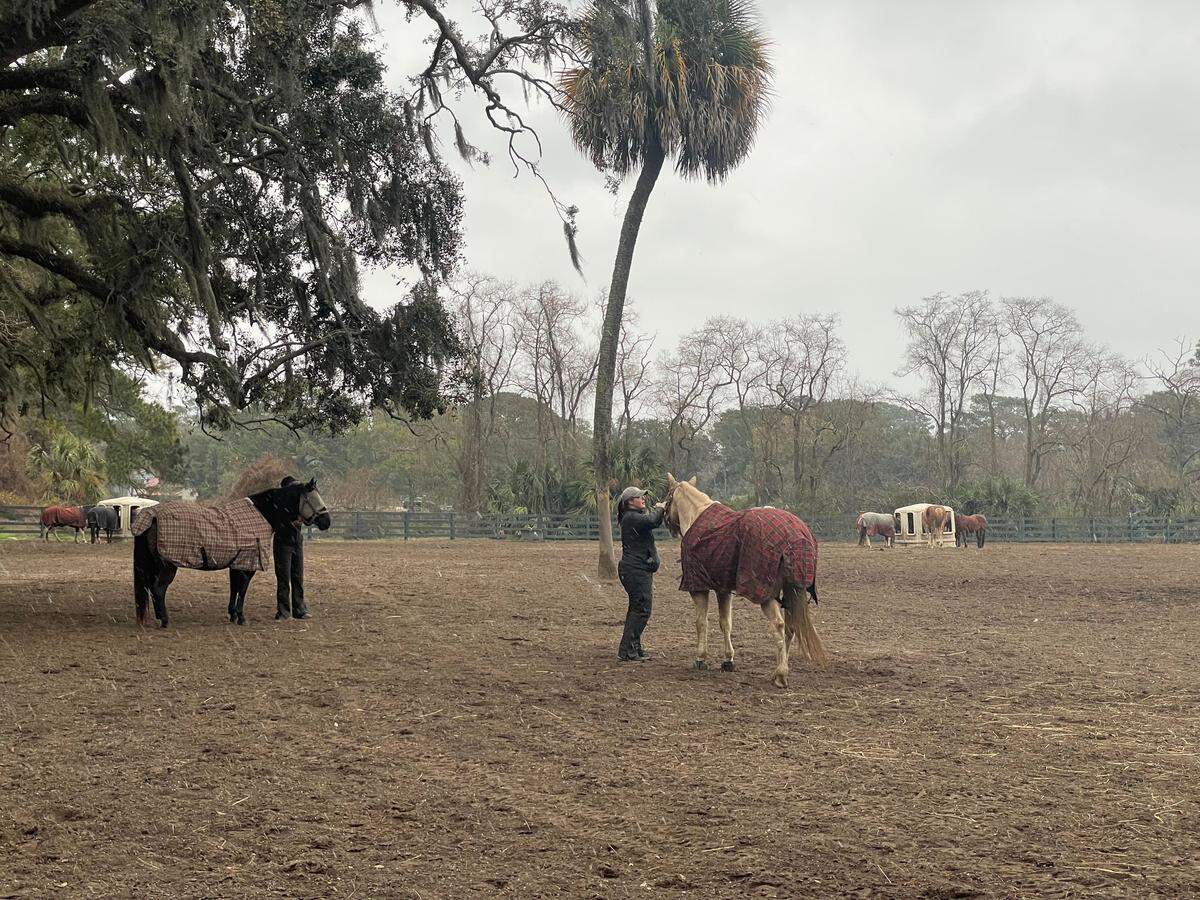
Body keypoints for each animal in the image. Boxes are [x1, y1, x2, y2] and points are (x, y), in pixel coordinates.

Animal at [132, 479, 330, 627]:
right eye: (313, 498)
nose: (326, 522)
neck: (260, 515)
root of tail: (152, 515)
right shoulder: (248, 565)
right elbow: (242, 590)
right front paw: (241, 617)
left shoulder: (236, 564)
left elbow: (234, 588)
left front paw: (233, 615)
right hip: (168, 566)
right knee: (158, 589)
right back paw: (164, 620)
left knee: (150, 588)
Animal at [662, 473, 828, 689]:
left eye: (668, 496)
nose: (666, 521)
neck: (696, 514)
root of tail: (795, 535)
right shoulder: (723, 589)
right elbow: (725, 623)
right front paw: (728, 660)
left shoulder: (698, 587)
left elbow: (701, 622)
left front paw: (700, 658)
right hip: (791, 591)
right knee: (790, 628)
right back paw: (779, 669)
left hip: (766, 595)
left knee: (779, 626)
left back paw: (781, 674)